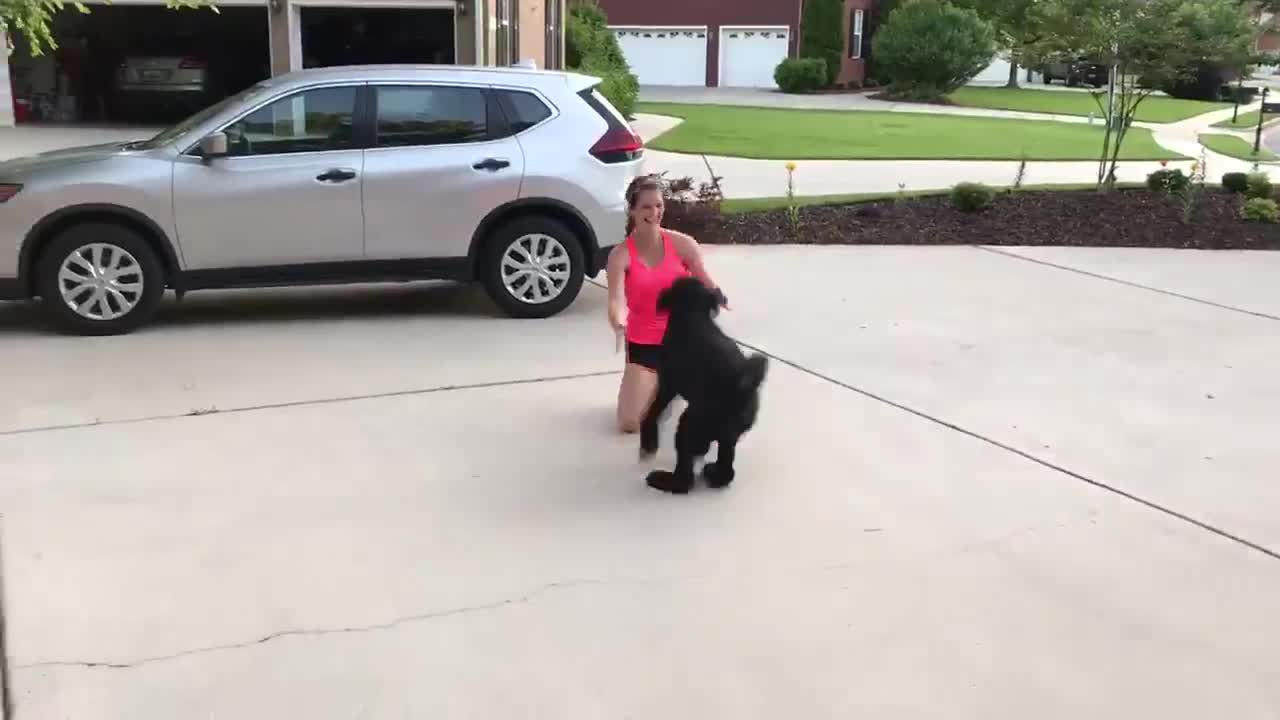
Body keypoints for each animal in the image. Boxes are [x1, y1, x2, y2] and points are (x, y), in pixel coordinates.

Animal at [640, 275, 768, 491]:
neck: (693, 314)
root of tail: (741, 387)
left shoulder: (668, 383)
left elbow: (655, 408)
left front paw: (649, 437)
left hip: (690, 423)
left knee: (685, 479)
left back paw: (664, 480)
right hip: (729, 434)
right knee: (727, 468)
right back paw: (714, 474)